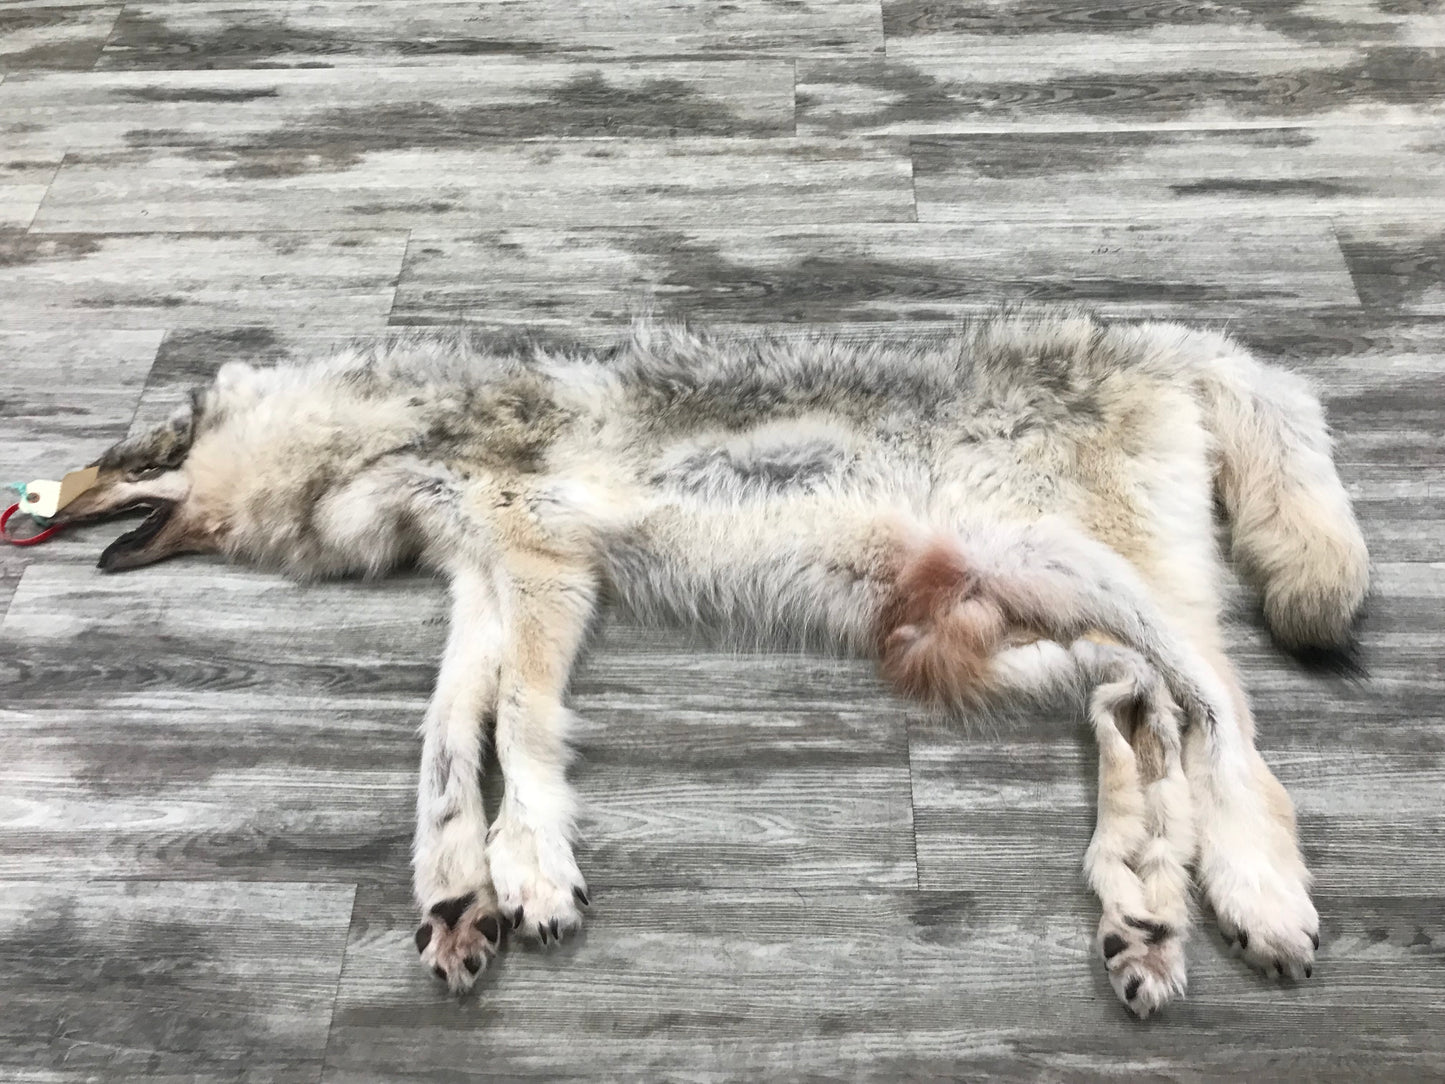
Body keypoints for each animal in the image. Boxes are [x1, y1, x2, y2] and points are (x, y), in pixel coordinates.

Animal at [53, 308, 1367, 1018]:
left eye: (131, 455)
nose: (44, 505)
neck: (394, 435)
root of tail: (1170, 345)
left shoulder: (543, 568)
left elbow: (517, 728)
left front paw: (529, 875)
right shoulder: (488, 583)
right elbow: (443, 749)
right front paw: (454, 896)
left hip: (1073, 582)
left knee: (1230, 728)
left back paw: (1252, 894)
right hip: (985, 632)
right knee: (1141, 714)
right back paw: (1141, 917)